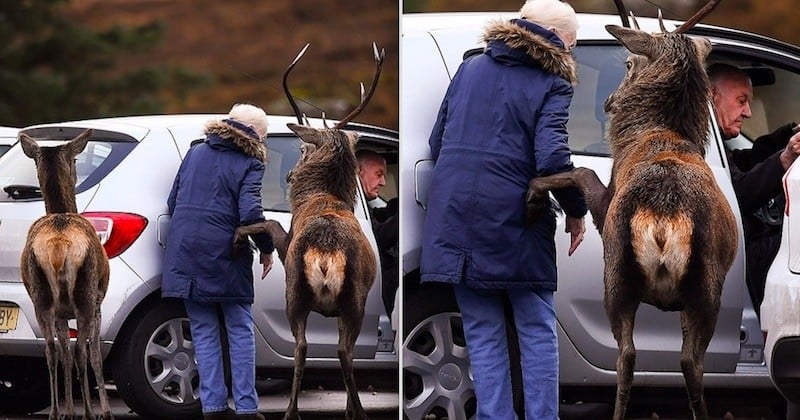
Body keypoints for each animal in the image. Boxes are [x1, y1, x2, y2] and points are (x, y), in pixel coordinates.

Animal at [19, 130, 113, 418]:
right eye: (75, 160)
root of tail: (58, 246)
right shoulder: (99, 303)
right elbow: (94, 355)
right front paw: (104, 410)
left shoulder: (61, 313)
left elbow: (65, 353)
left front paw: (69, 408)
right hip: (85, 294)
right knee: (82, 350)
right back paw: (89, 413)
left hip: (40, 297)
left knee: (51, 351)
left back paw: (55, 411)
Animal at [233, 43, 382, 420]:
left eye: (303, 148)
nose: (289, 175)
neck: (320, 197)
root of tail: (326, 253)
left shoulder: (288, 244)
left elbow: (272, 223)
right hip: (346, 299)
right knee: (337, 351)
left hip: (303, 292)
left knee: (311, 349)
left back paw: (304, 411)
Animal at [524, 1, 736, 418]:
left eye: (627, 63)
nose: (608, 102)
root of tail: (664, 217)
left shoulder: (606, 206)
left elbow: (585, 171)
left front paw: (534, 191)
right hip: (692, 284)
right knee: (674, 359)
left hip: (623, 269)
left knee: (635, 356)